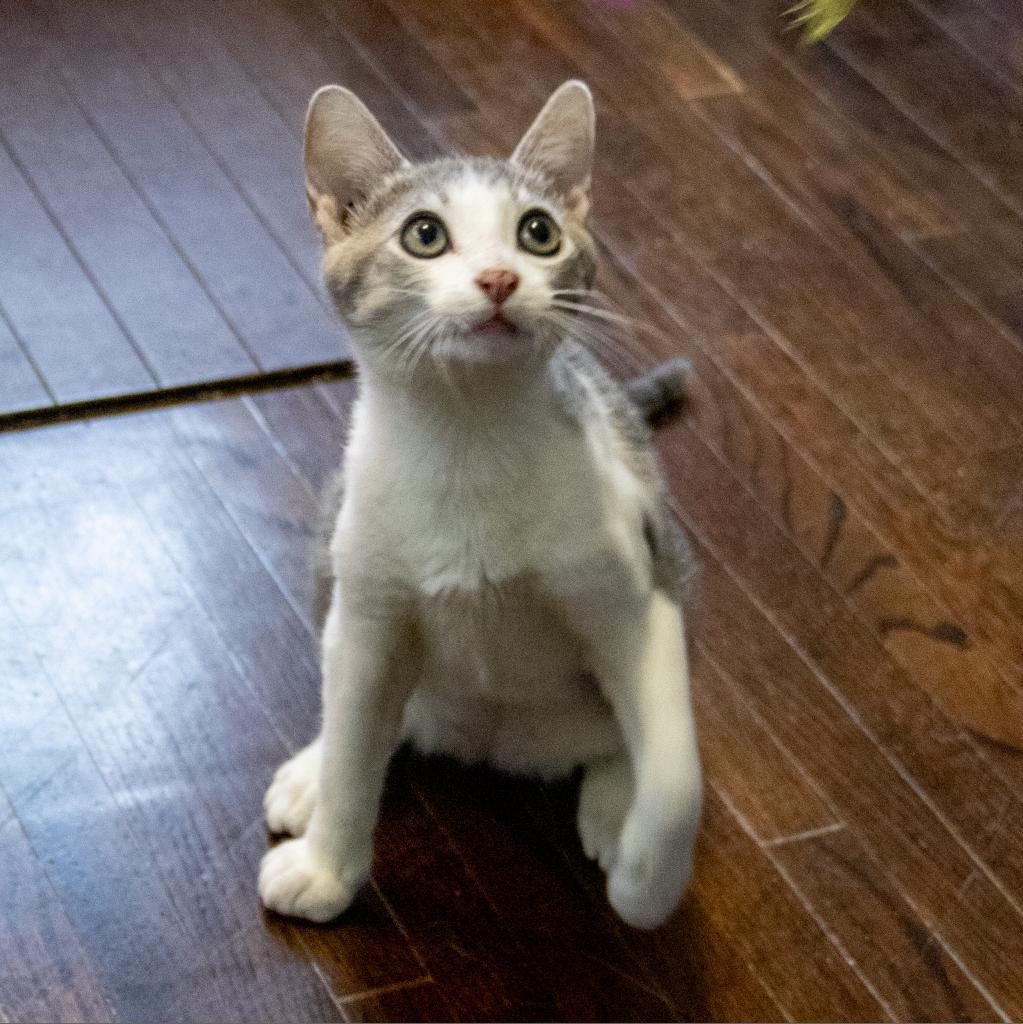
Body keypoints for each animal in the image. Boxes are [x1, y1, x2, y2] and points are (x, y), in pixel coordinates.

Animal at [258, 79, 704, 929]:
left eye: (538, 232)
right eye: (424, 235)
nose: (499, 278)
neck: (468, 438)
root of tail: (490, 742)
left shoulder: (639, 588)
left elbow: (678, 779)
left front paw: (644, 883)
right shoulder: (370, 613)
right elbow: (353, 742)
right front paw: (328, 867)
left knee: (615, 733)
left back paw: (612, 801)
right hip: (335, 550)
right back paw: (309, 770)